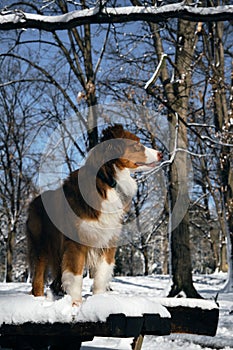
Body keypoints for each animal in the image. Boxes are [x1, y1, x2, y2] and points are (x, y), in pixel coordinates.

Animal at [26, 124, 162, 304]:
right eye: (136, 145)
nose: (161, 153)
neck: (107, 180)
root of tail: (33, 202)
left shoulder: (108, 240)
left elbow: (101, 275)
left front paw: (98, 301)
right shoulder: (75, 242)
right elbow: (75, 275)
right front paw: (76, 303)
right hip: (41, 246)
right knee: (37, 280)